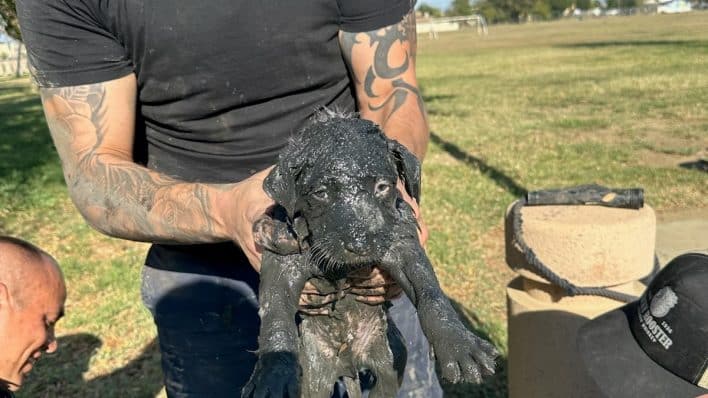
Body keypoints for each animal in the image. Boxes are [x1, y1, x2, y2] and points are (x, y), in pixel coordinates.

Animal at [243, 112, 498, 398]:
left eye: (382, 186)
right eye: (321, 193)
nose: (361, 244)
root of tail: (349, 363)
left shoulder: (403, 245)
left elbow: (430, 292)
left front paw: (459, 344)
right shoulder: (282, 256)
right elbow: (275, 315)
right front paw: (273, 373)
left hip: (391, 358)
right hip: (314, 374)